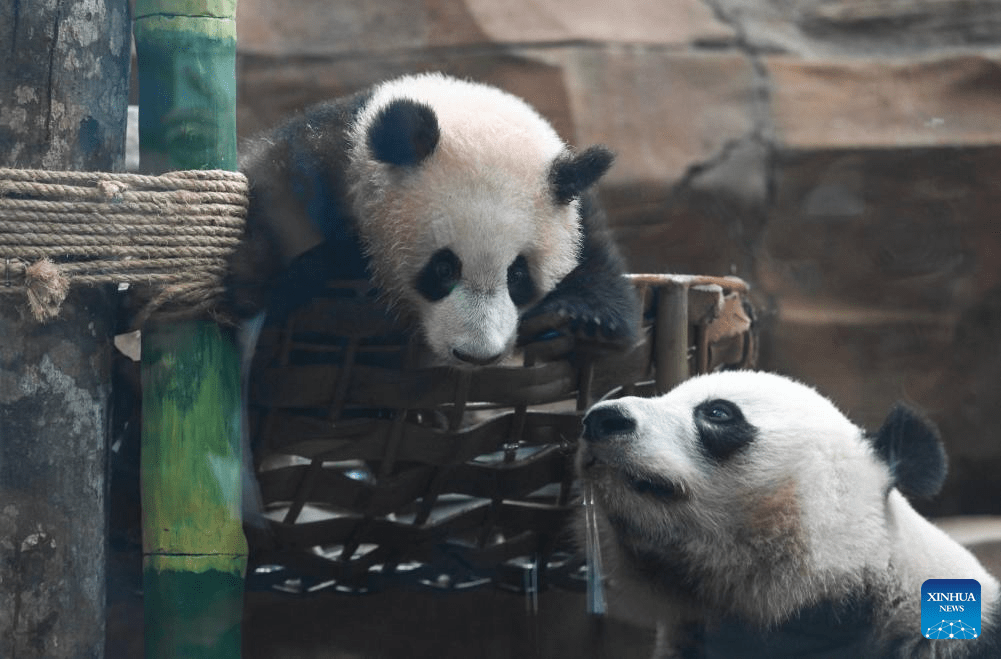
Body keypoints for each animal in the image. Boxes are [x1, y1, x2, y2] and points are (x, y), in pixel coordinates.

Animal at [226, 72, 638, 366]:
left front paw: (587, 319)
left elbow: (597, 266)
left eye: (518, 276)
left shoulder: (579, 213)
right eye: (443, 268)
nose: (476, 356)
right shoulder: (311, 173)